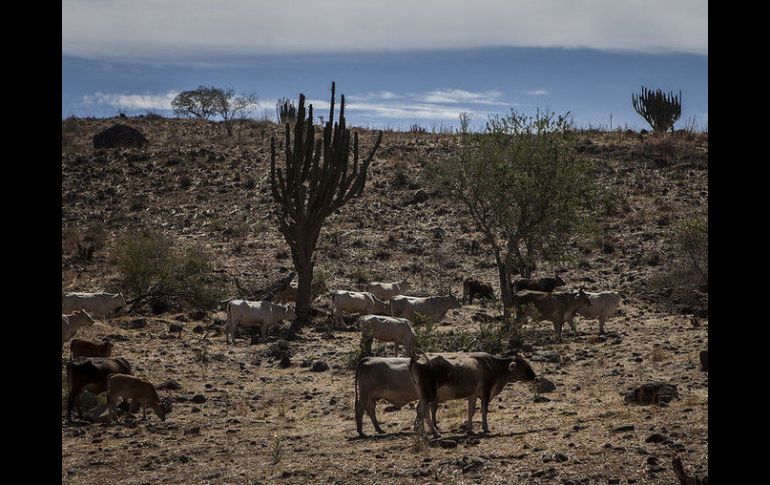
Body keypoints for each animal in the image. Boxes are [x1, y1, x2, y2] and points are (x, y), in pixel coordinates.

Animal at [354, 350, 536, 436]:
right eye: (524, 365)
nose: (534, 376)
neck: (491, 365)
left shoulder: (472, 394)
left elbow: (471, 411)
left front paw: (470, 429)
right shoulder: (485, 391)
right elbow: (483, 411)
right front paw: (485, 428)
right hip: (368, 394)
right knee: (361, 409)